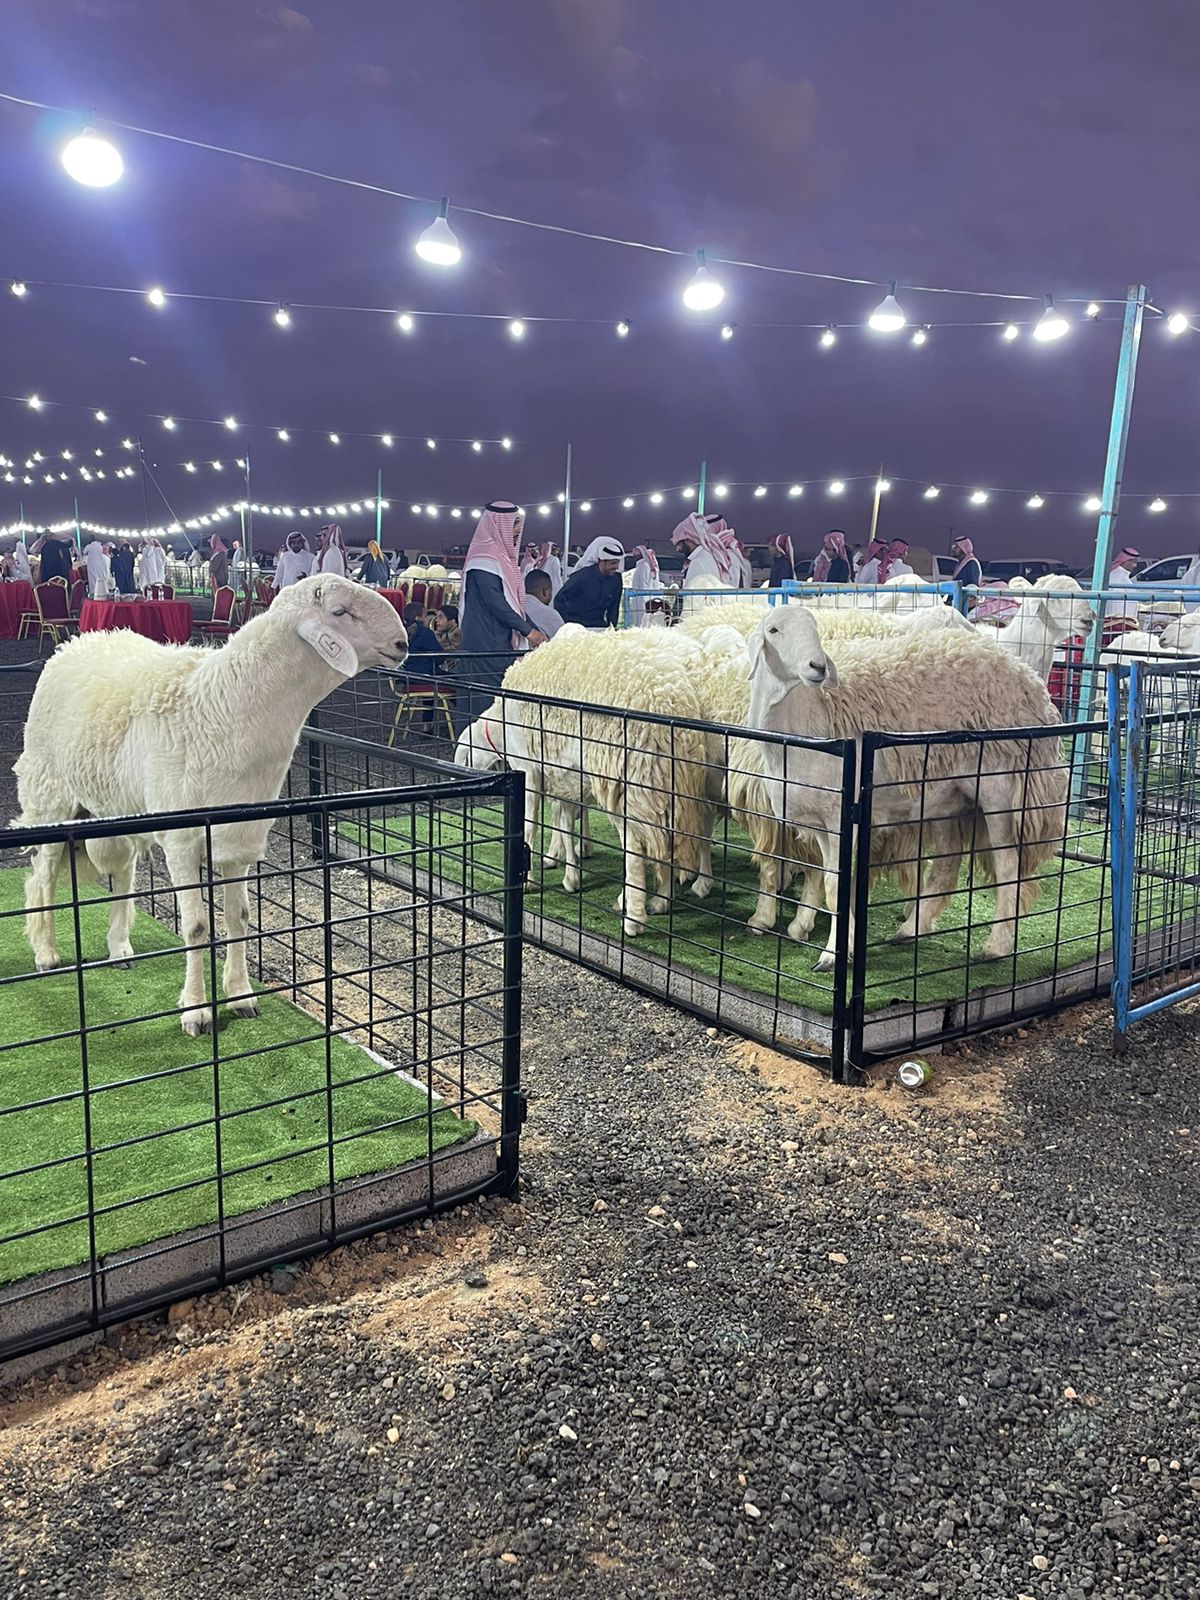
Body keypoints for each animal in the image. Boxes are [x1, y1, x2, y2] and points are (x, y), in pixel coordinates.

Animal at [15, 575, 409, 1035]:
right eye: (340, 612)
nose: (402, 644)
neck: (225, 707)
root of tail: (79, 641)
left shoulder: (238, 839)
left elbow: (240, 918)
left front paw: (240, 995)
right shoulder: (183, 842)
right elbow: (197, 926)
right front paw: (196, 1010)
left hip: (117, 806)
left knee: (124, 873)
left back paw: (120, 948)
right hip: (49, 795)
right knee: (42, 878)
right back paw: (46, 953)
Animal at [747, 605, 1067, 969]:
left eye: (815, 629)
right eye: (773, 630)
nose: (818, 666)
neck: (809, 716)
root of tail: (1033, 684)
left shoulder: (842, 818)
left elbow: (837, 886)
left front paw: (834, 954)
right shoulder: (817, 821)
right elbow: (826, 882)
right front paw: (825, 938)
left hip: (1001, 787)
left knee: (1008, 864)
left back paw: (995, 945)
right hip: (947, 796)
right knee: (946, 866)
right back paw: (911, 929)